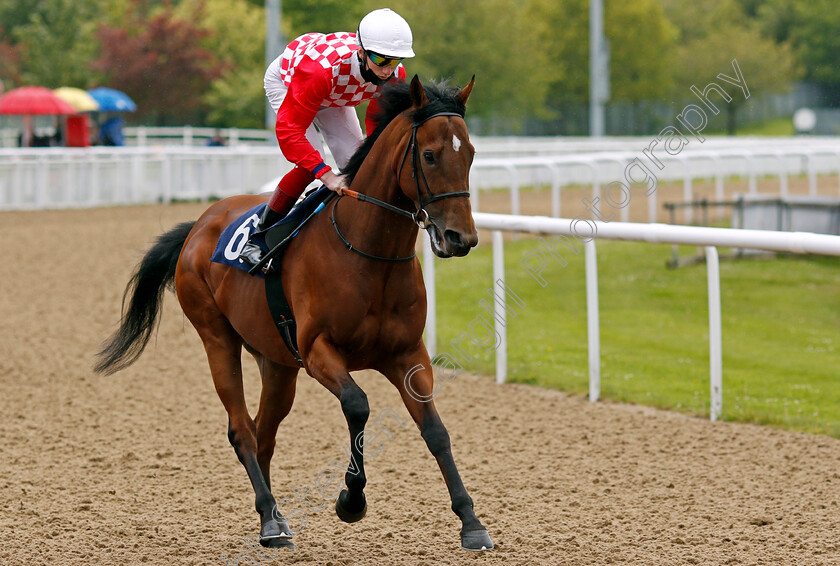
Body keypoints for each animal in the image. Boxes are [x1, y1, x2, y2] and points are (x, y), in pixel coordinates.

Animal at [95, 74, 496, 552]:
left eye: (470, 153)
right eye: (430, 155)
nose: (460, 238)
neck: (368, 251)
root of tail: (199, 224)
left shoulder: (407, 354)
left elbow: (435, 430)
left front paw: (471, 522)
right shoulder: (318, 350)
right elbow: (358, 405)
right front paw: (351, 500)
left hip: (277, 364)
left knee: (262, 433)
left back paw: (270, 515)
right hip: (217, 339)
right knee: (241, 429)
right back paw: (272, 521)